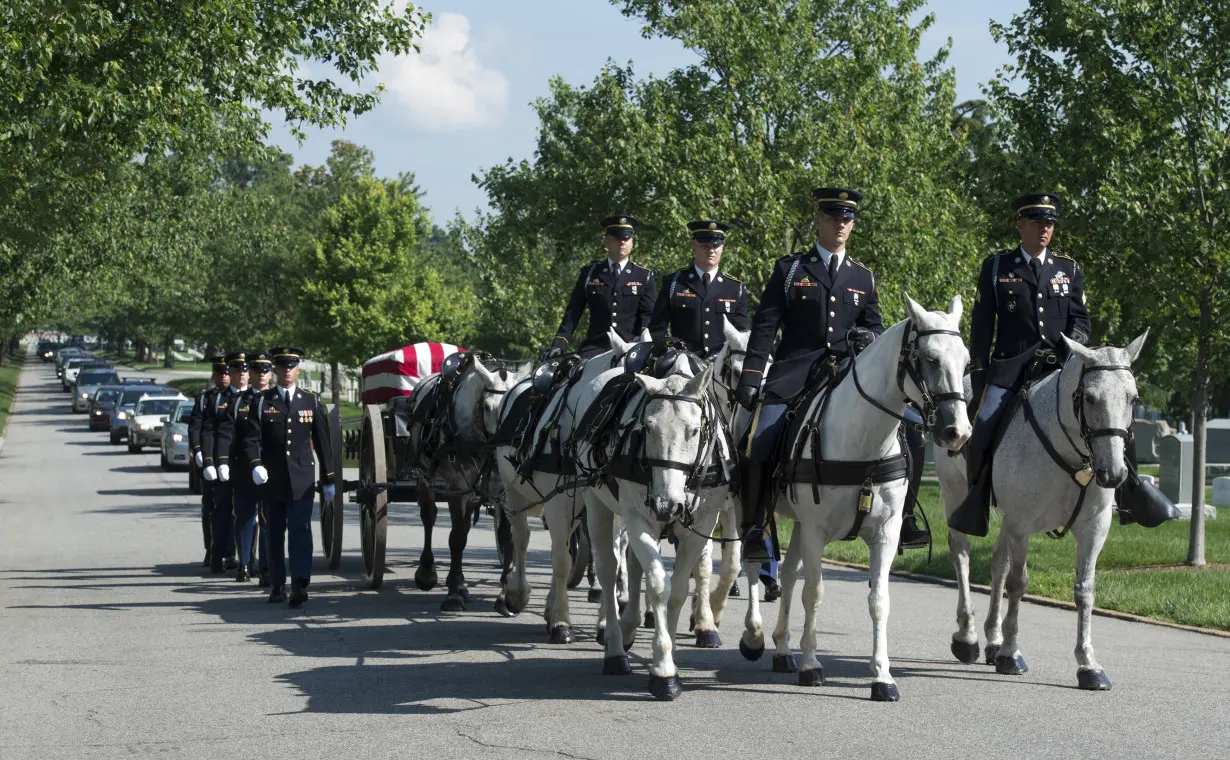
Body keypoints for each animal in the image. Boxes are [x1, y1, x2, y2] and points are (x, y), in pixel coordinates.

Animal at [738, 293, 969, 698]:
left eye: (967, 360)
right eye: (930, 359)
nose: (957, 431)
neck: (864, 443)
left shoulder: (885, 533)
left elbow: (878, 600)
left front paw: (882, 676)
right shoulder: (816, 531)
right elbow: (814, 594)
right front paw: (812, 665)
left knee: (789, 572)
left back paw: (782, 649)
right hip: (746, 510)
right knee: (751, 562)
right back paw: (753, 636)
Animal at [934, 329, 1146, 688]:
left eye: (1132, 398)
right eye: (1090, 398)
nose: (1114, 473)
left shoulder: (1094, 527)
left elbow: (1085, 590)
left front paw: (1088, 664)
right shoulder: (1021, 523)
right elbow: (1018, 583)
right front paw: (1011, 654)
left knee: (997, 564)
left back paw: (992, 639)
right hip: (955, 494)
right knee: (962, 554)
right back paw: (969, 637)